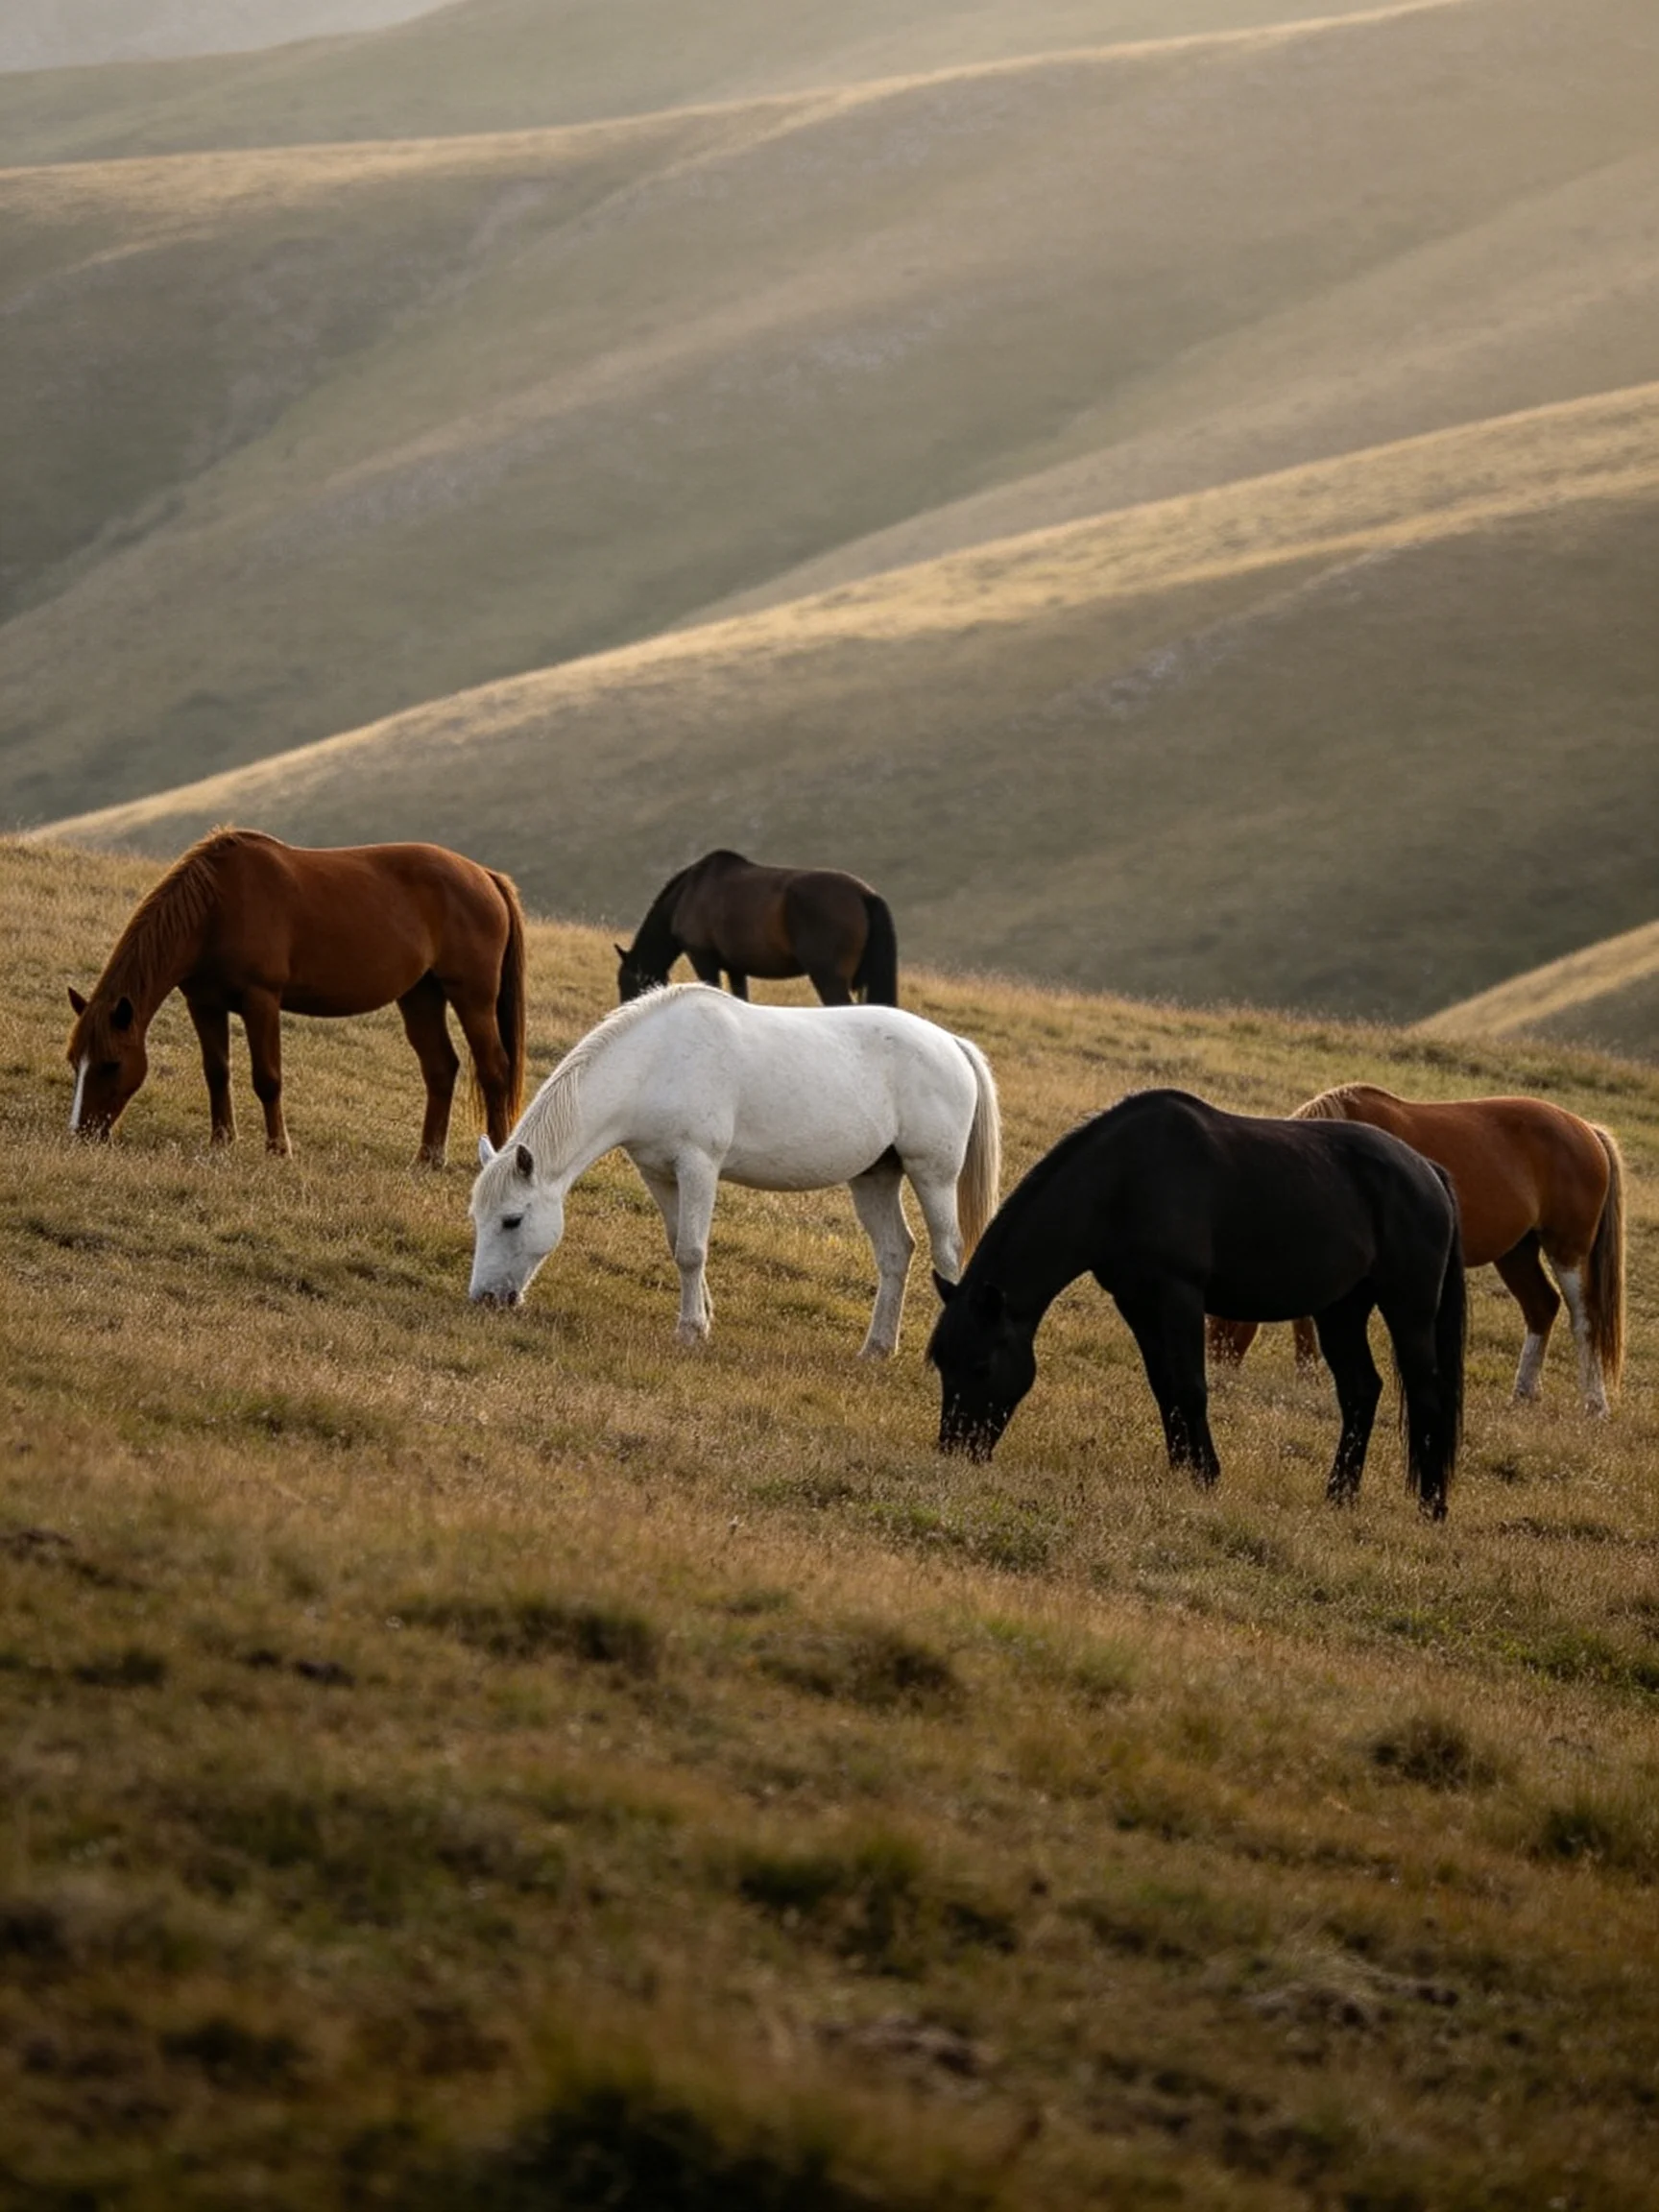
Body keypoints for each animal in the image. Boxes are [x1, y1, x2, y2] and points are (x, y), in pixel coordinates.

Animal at [66, 828, 526, 1164]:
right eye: (75, 1062)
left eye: (111, 1063)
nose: (81, 1133)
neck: (217, 907)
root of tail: (486, 876)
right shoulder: (205, 1003)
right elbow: (216, 1071)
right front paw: (221, 1140)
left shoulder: (261, 1000)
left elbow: (267, 1078)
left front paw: (278, 1148)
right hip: (420, 996)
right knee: (440, 1069)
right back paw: (427, 1158)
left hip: (473, 997)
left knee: (494, 1069)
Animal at [468, 984, 999, 1356]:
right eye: (478, 1219)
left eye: (512, 1220)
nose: (484, 1299)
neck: (656, 1063)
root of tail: (951, 1043)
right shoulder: (658, 1173)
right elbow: (677, 1243)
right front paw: (703, 1317)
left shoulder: (698, 1165)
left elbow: (691, 1249)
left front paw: (690, 1330)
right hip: (875, 1177)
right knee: (895, 1252)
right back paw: (876, 1349)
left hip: (933, 1175)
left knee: (947, 1252)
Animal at [615, 850, 898, 1006]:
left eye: (625, 984)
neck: (689, 891)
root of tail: (865, 895)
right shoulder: (736, 969)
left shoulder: (703, 959)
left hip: (828, 978)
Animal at [928, 1089, 1466, 1519]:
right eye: (942, 1364)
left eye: (981, 1366)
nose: (954, 1448)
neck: (1124, 1179)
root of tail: (1431, 1173)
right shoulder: (1137, 1302)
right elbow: (1164, 1384)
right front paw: (1180, 1465)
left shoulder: (1179, 1294)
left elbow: (1190, 1386)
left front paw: (1205, 1474)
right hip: (1341, 1311)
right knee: (1360, 1391)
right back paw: (1339, 1494)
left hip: (1409, 1310)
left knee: (1426, 1395)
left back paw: (1432, 1506)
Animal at [1206, 1085, 1625, 1415]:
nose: (1217, 1368)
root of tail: (1587, 1130)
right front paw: (1307, 1371)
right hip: (1516, 1252)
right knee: (1541, 1308)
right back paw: (1523, 1393)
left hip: (1567, 1248)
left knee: (1584, 1318)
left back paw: (1595, 1405)